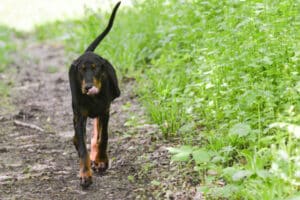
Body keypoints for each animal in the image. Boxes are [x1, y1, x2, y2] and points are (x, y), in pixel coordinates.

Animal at [68, 2, 121, 188]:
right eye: (81, 70)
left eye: (95, 68)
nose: (88, 87)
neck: (93, 98)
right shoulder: (80, 116)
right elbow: (83, 148)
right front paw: (85, 174)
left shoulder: (105, 110)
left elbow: (103, 137)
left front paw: (101, 160)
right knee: (81, 136)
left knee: (97, 130)